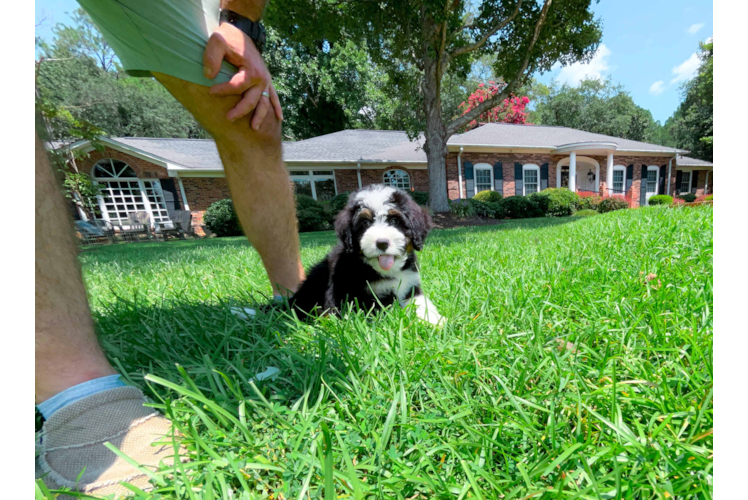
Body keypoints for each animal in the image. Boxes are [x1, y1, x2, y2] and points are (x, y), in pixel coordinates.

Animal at [290, 186, 444, 326]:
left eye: (394, 221)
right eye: (366, 223)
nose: (382, 243)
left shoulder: (410, 284)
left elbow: (420, 302)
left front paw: (433, 320)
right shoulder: (363, 298)